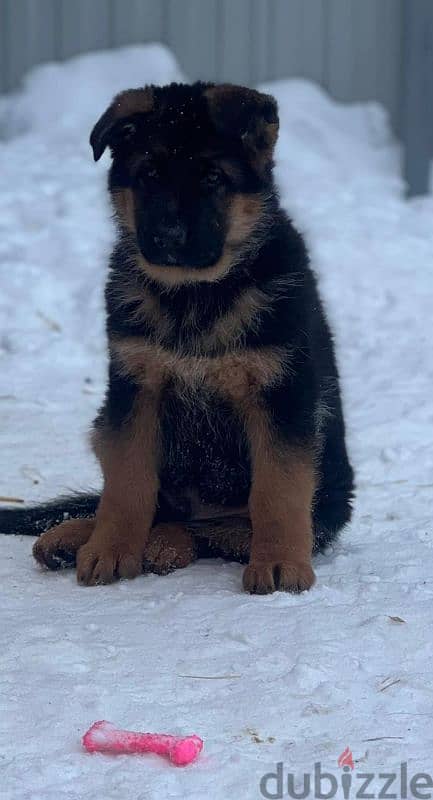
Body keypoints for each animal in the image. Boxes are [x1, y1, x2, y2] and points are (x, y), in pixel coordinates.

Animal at [0, 83, 352, 592]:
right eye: (149, 174)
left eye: (212, 178)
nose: (168, 235)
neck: (195, 295)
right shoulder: (135, 389)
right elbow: (127, 483)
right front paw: (110, 549)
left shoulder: (282, 395)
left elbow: (277, 489)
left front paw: (280, 563)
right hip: (104, 423)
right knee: (159, 508)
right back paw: (73, 537)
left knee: (215, 532)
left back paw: (163, 545)